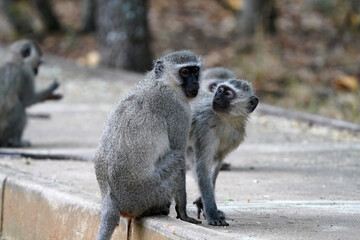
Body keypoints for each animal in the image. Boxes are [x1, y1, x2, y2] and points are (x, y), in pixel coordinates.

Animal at [95, 50, 202, 240]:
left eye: (195, 71)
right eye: (184, 72)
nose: (195, 83)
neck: (163, 82)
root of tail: (110, 197)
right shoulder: (178, 111)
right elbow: (179, 153)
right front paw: (183, 212)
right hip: (148, 192)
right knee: (177, 158)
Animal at [188, 79, 258, 225]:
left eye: (228, 93)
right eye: (219, 90)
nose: (217, 97)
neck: (226, 120)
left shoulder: (236, 135)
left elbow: (216, 163)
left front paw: (203, 203)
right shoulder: (205, 128)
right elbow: (202, 165)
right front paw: (212, 213)